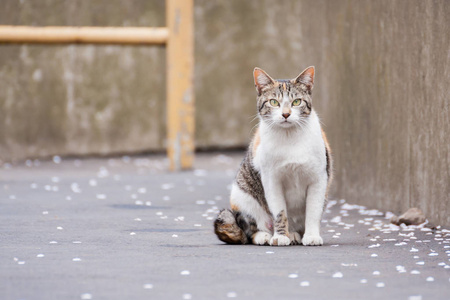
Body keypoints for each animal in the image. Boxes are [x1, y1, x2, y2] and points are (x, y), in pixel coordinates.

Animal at [213, 66, 332, 246]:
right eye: (274, 102)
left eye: (297, 101)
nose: (286, 114)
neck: (290, 138)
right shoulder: (272, 180)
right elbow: (279, 211)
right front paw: (280, 236)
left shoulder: (318, 179)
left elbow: (313, 211)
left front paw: (311, 236)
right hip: (241, 196)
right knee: (249, 230)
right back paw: (265, 236)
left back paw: (295, 235)